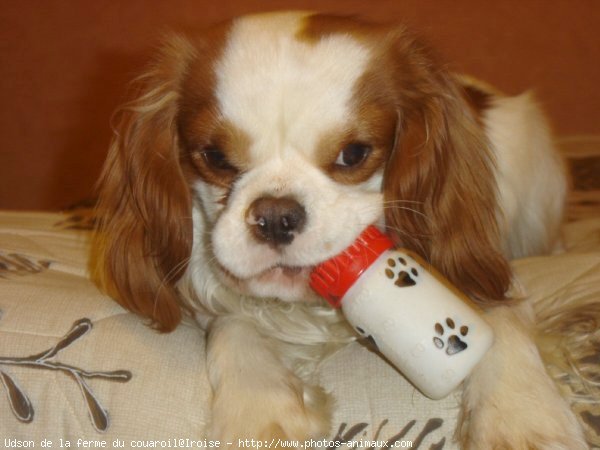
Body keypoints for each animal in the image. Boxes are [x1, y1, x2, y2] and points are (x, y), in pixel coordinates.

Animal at [91, 11, 588, 450]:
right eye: (215, 157)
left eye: (353, 154)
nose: (276, 215)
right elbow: (232, 326)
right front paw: (258, 413)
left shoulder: (480, 261)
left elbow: (501, 316)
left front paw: (522, 418)